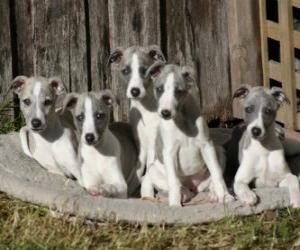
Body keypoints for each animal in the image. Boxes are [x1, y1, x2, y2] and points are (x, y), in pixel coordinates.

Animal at [108, 45, 165, 180]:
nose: (135, 91)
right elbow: (138, 169)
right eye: (125, 71)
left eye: (145, 71)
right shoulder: (141, 144)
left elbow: (149, 167)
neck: (144, 107)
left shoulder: (153, 144)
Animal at [141, 63, 234, 206]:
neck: (182, 119)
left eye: (178, 91)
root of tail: (192, 184)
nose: (165, 113)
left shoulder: (206, 146)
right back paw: (183, 195)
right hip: (153, 169)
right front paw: (175, 205)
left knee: (211, 181)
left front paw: (225, 196)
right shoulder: (169, 152)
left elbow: (217, 173)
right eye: (159, 89)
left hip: (219, 151)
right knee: (179, 187)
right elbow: (173, 182)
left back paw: (213, 195)